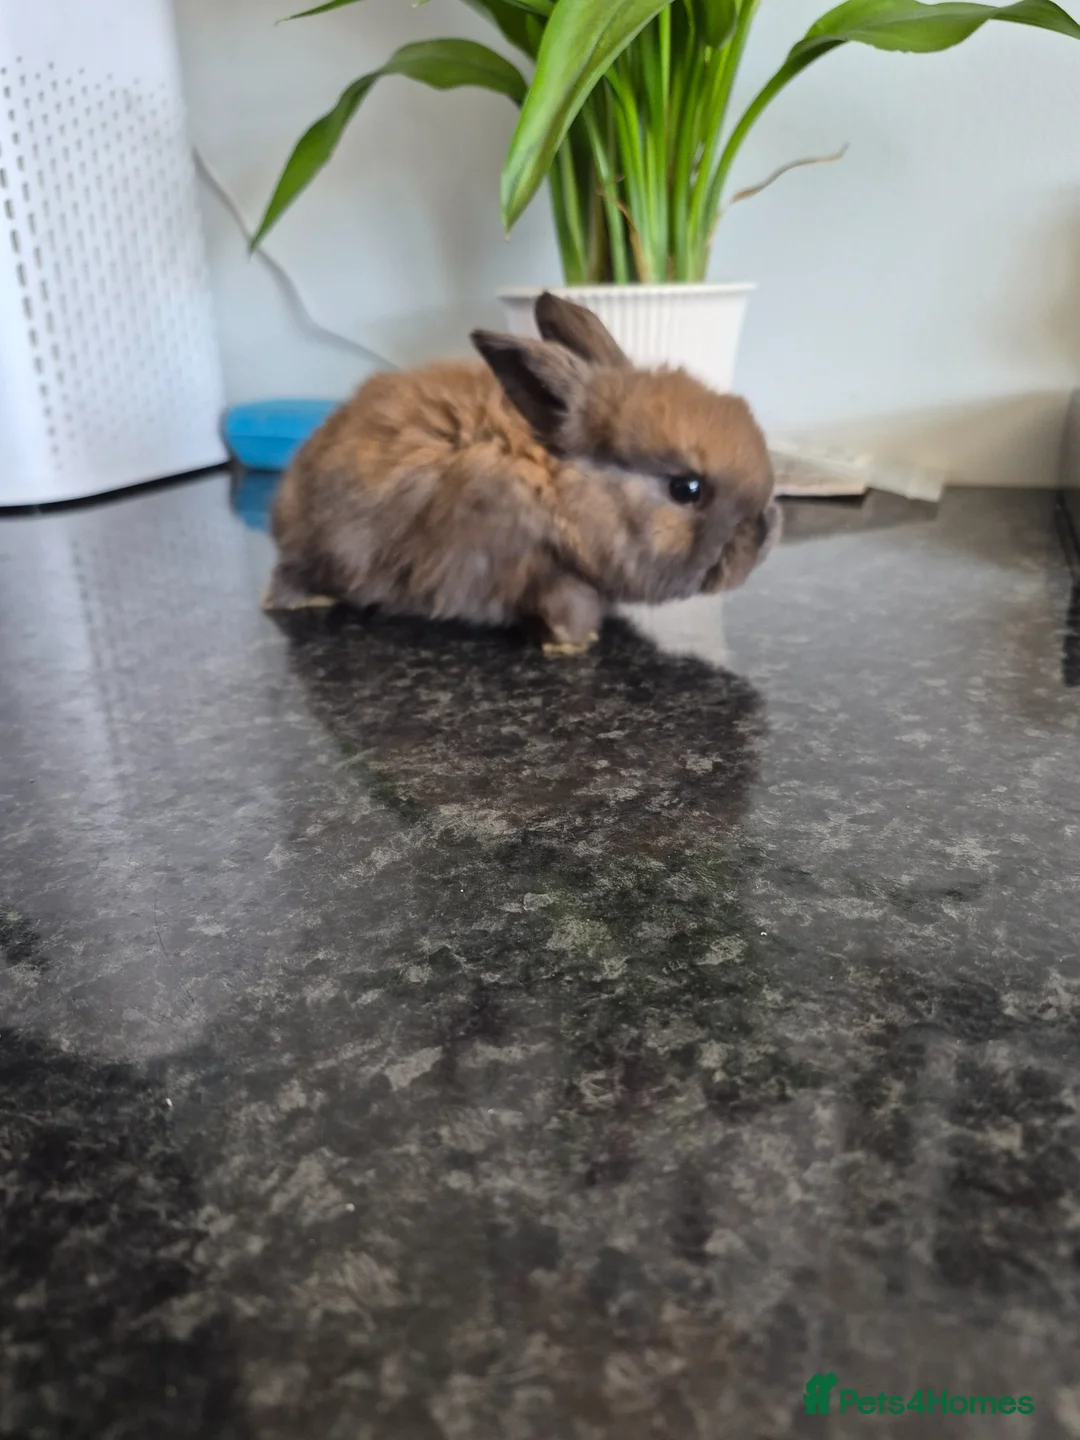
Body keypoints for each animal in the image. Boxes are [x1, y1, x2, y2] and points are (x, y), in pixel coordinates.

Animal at [264, 292, 780, 655]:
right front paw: (572, 645)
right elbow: (568, 612)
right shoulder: (555, 579)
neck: (560, 490)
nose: (766, 534)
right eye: (686, 488)